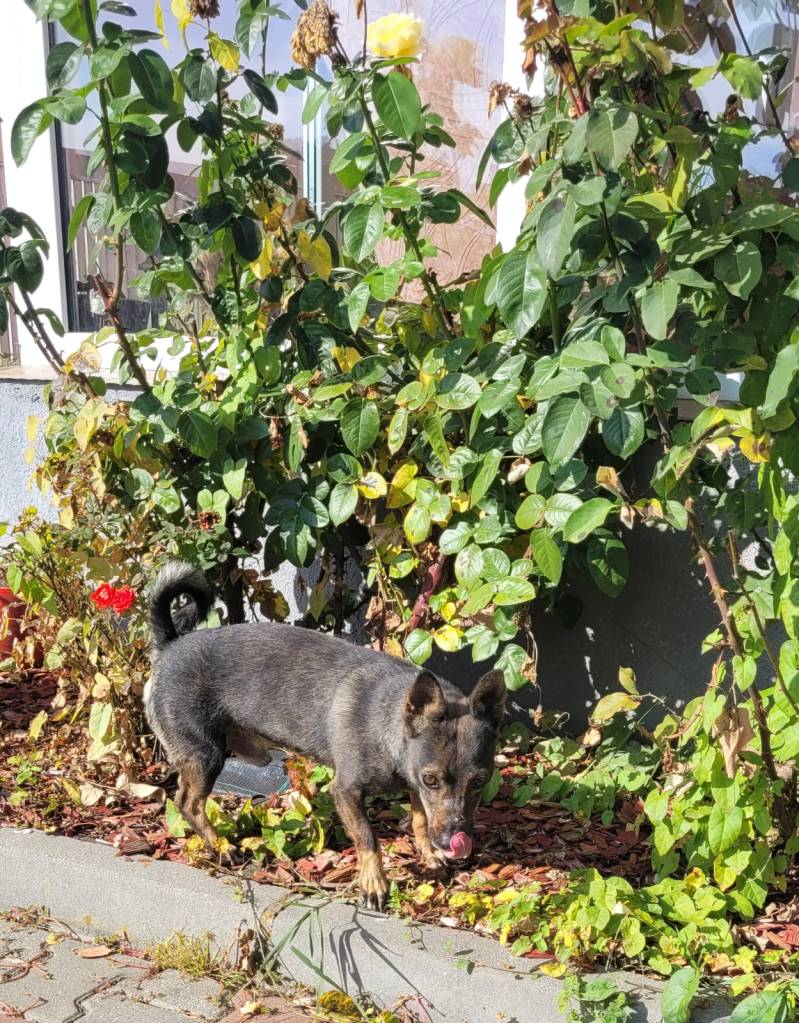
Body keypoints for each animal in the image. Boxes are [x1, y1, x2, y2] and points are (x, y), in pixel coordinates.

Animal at [144, 562, 506, 910]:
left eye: (479, 781)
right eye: (431, 780)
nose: (453, 842)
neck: (389, 728)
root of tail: (170, 644)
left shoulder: (414, 789)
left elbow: (420, 820)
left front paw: (430, 857)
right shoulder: (347, 791)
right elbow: (368, 838)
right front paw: (374, 884)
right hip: (205, 756)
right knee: (188, 802)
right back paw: (221, 848)